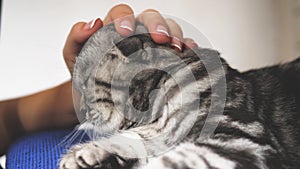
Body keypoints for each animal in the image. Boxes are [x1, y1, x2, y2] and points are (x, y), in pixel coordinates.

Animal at [59, 23, 300, 168]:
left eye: (85, 85)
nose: (82, 110)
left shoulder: (240, 139)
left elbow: (173, 159)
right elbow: (133, 139)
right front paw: (85, 154)